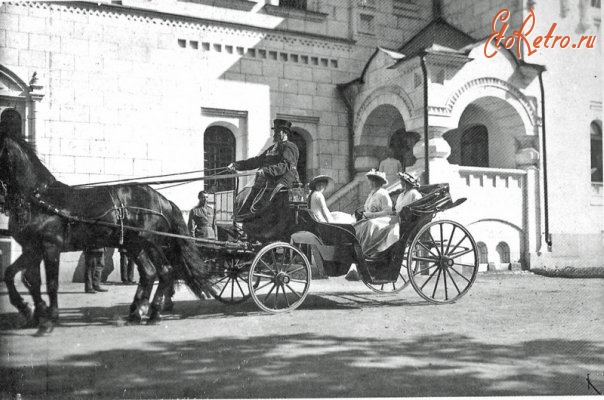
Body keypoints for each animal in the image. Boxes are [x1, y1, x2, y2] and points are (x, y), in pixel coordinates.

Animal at [0, 130, 212, 334]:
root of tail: (163, 200)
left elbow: (50, 284)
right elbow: (20, 277)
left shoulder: (50, 247)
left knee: (165, 272)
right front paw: (31, 311)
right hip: (134, 245)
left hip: (150, 243)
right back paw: (138, 312)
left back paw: (152, 313)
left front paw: (48, 318)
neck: (39, 198)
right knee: (150, 273)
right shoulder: (32, 249)